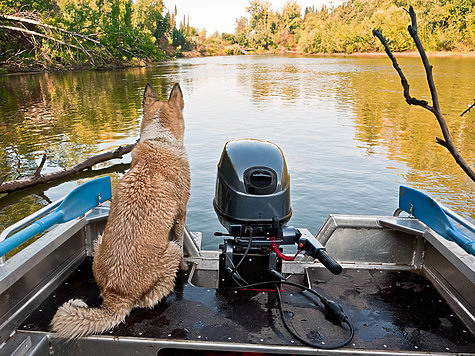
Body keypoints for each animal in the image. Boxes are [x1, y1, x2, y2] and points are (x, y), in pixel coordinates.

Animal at [51, 82, 192, 338]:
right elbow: (179, 236)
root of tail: (116, 298)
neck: (160, 139)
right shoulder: (181, 213)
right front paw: (186, 266)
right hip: (171, 251)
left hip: (99, 240)